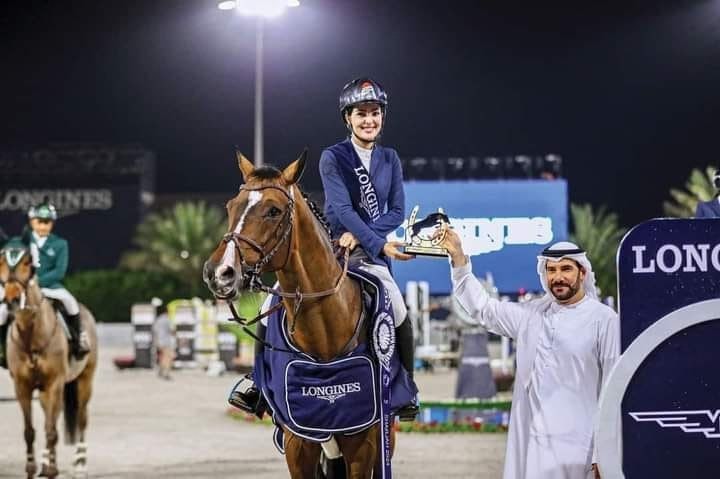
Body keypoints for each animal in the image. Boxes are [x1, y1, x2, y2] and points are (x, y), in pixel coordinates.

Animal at [0, 244, 98, 479]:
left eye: (27, 264)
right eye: (1, 264)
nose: (11, 301)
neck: (31, 336)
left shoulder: (55, 383)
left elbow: (52, 430)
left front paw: (52, 469)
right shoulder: (23, 387)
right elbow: (30, 431)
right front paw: (32, 469)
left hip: (84, 381)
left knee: (81, 419)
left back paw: (79, 465)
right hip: (46, 392)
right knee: (50, 418)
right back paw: (46, 464)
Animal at [204, 151, 396, 478]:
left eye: (273, 211)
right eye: (231, 206)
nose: (219, 273)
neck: (323, 335)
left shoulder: (364, 445)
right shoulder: (298, 442)